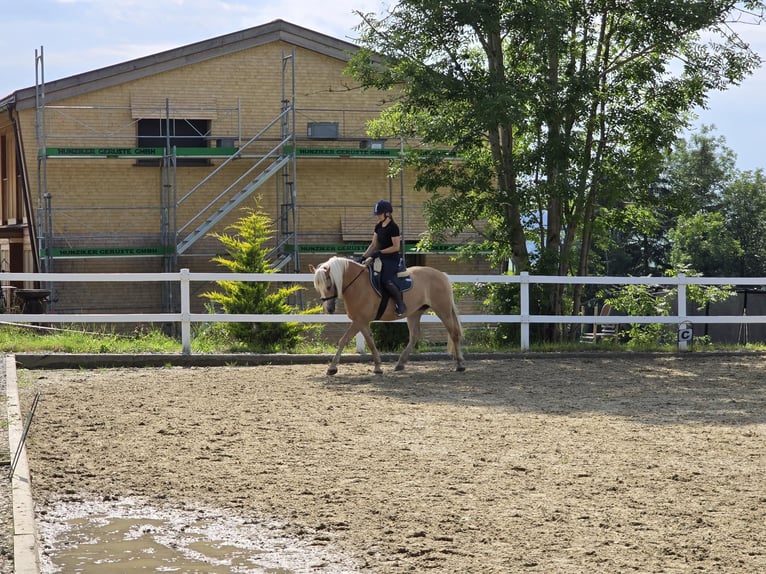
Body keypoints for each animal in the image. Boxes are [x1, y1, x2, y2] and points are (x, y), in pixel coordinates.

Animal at [314, 258, 468, 378]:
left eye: (329, 286)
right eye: (318, 287)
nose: (329, 309)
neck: (357, 284)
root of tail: (441, 275)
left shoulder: (359, 321)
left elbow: (343, 340)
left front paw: (332, 368)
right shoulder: (362, 322)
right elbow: (370, 342)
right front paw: (377, 367)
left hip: (443, 310)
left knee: (454, 333)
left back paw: (460, 364)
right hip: (414, 313)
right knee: (414, 336)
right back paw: (400, 364)